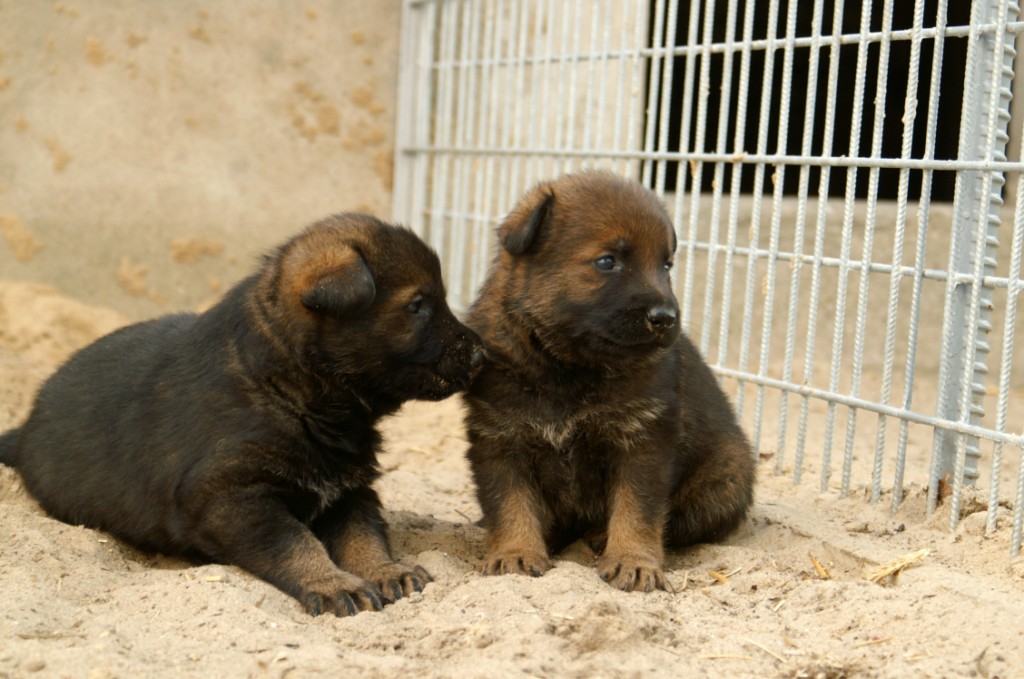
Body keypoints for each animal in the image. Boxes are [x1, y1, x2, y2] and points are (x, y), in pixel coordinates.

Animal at [0, 215, 483, 618]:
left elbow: (364, 534)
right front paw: (331, 583)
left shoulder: (350, 488)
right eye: (417, 306)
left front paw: (384, 570)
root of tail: (27, 424)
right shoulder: (230, 497)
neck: (291, 387)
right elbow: (296, 542)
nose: (482, 352)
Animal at [462, 171, 753, 593]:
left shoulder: (642, 441)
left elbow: (638, 510)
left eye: (666, 265)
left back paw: (601, 537)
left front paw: (633, 560)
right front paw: (515, 552)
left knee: (683, 520)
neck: (567, 367)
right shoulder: (499, 440)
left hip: (728, 477)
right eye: (607, 262)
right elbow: (510, 504)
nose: (665, 317)